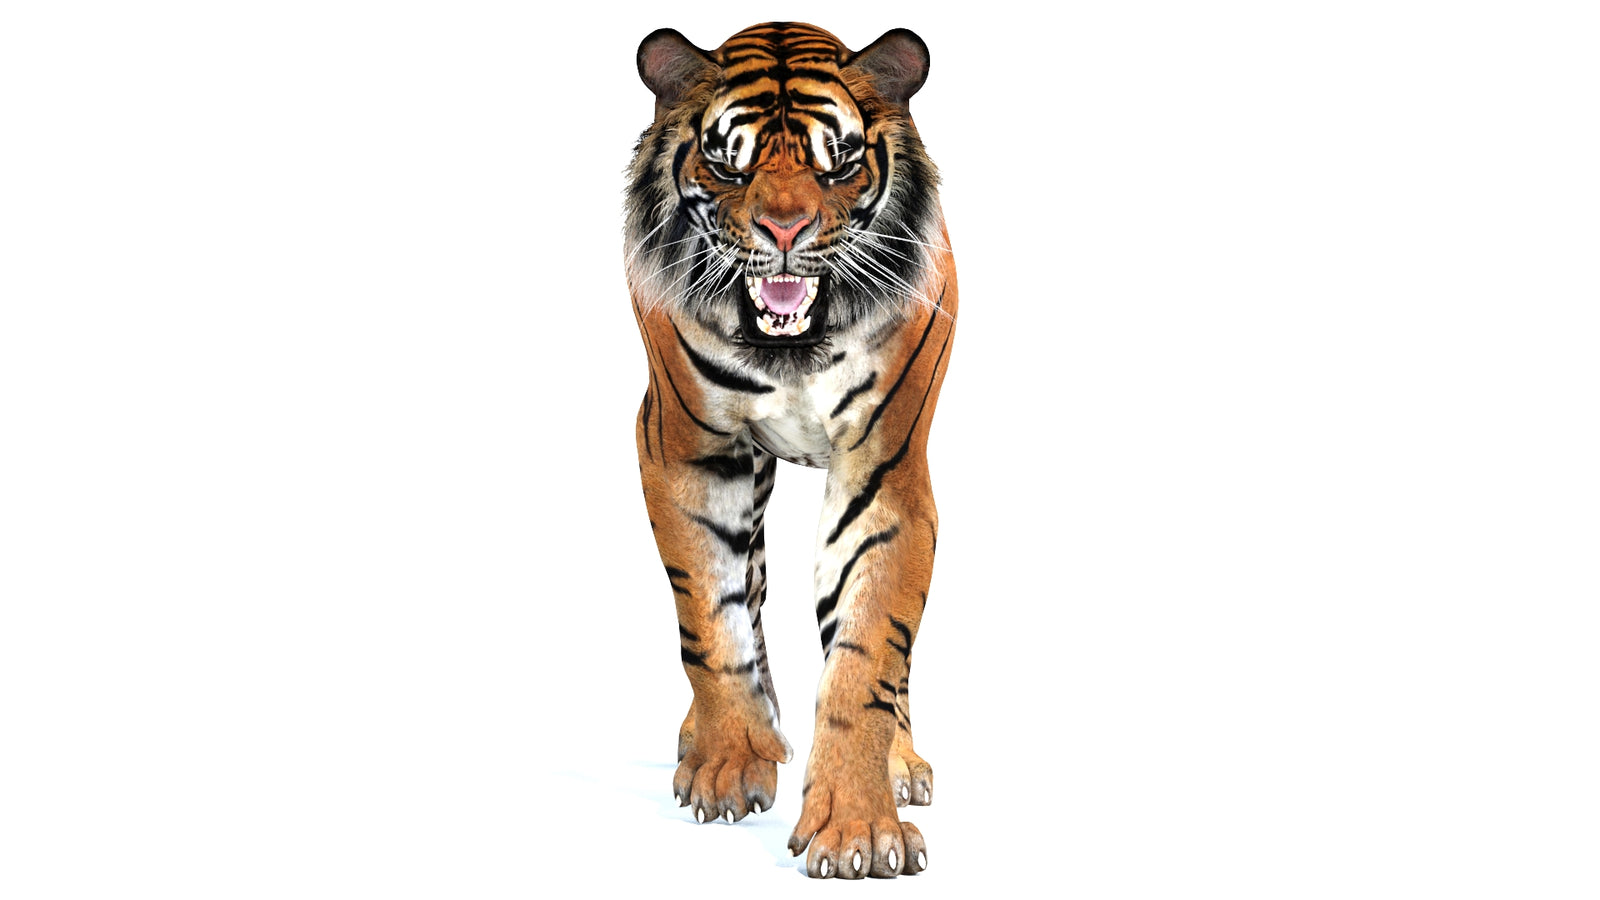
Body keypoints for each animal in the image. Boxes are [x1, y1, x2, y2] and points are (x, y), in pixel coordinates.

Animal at [625, 22, 957, 879]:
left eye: (836, 163)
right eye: (728, 164)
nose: (783, 233)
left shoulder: (883, 469)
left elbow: (868, 655)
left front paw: (859, 829)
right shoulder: (686, 451)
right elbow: (712, 621)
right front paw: (729, 762)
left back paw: (903, 764)